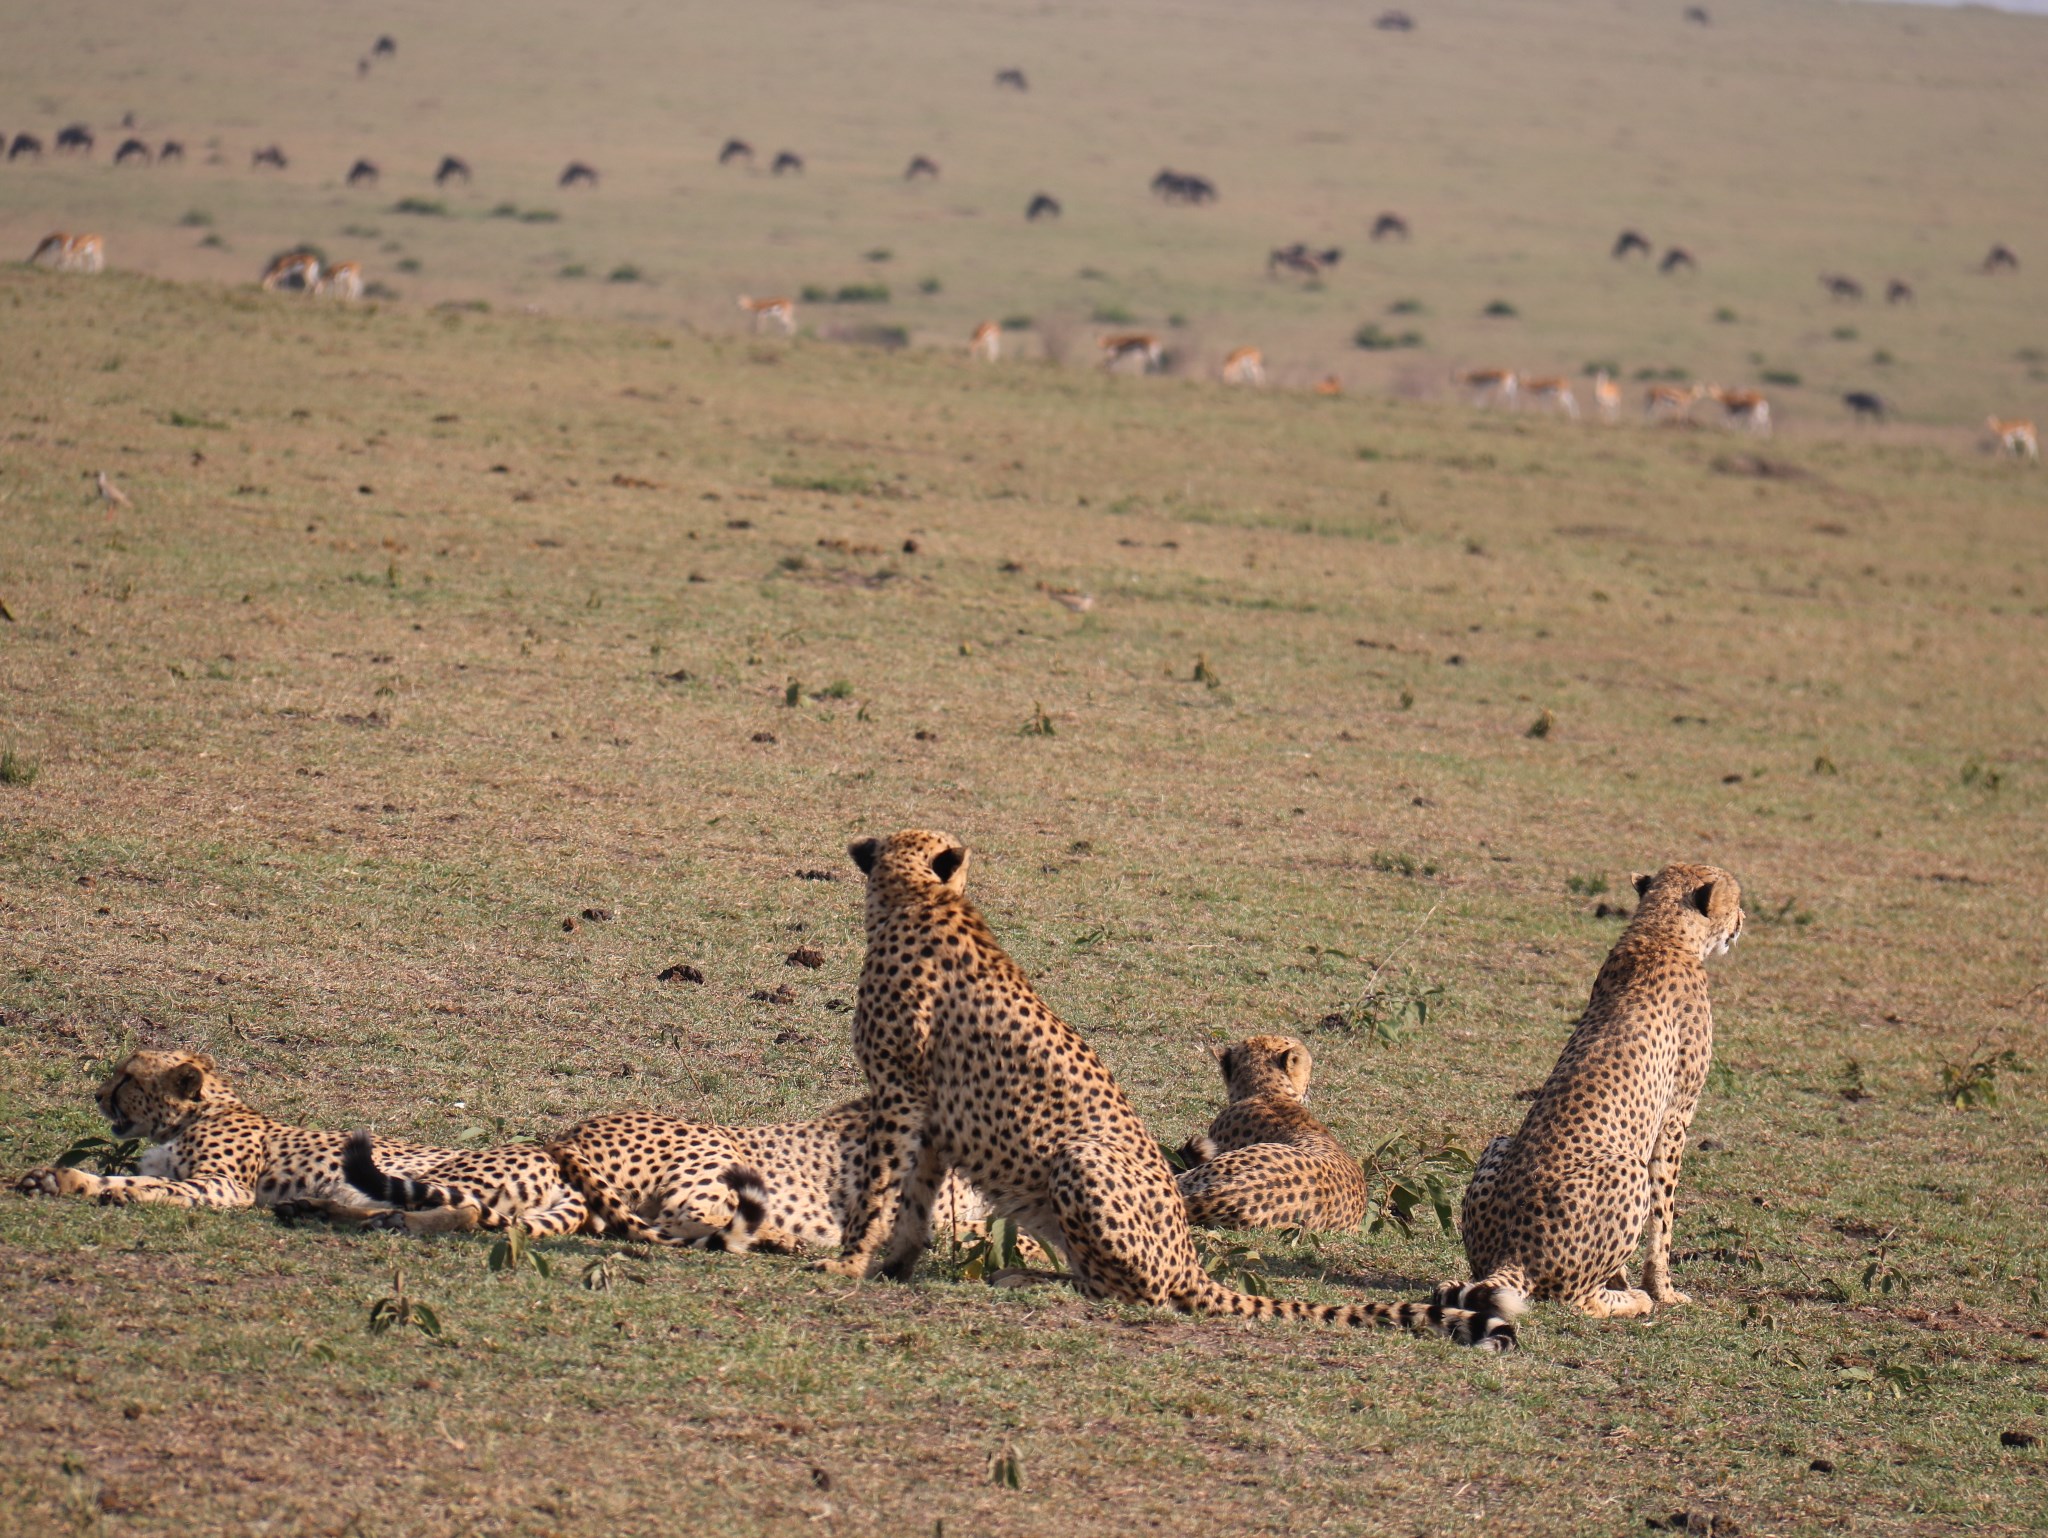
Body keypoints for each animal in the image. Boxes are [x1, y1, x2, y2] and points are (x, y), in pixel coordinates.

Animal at [9, 1048, 452, 1228]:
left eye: (127, 1078)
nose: (98, 1096)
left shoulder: (225, 1183)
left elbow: (163, 1188)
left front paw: (127, 1194)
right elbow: (123, 1176)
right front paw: (57, 1180)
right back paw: (315, 1210)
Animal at [1441, 868, 1744, 1327]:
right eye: (1737, 899)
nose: (1743, 920)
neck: (1660, 932)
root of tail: (1511, 1253)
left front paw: (1623, 1279)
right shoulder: (1677, 1114)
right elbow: (1664, 1216)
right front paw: (1665, 1291)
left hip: (1500, 1143)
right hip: (1627, 1167)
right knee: (1577, 1299)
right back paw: (1636, 1301)